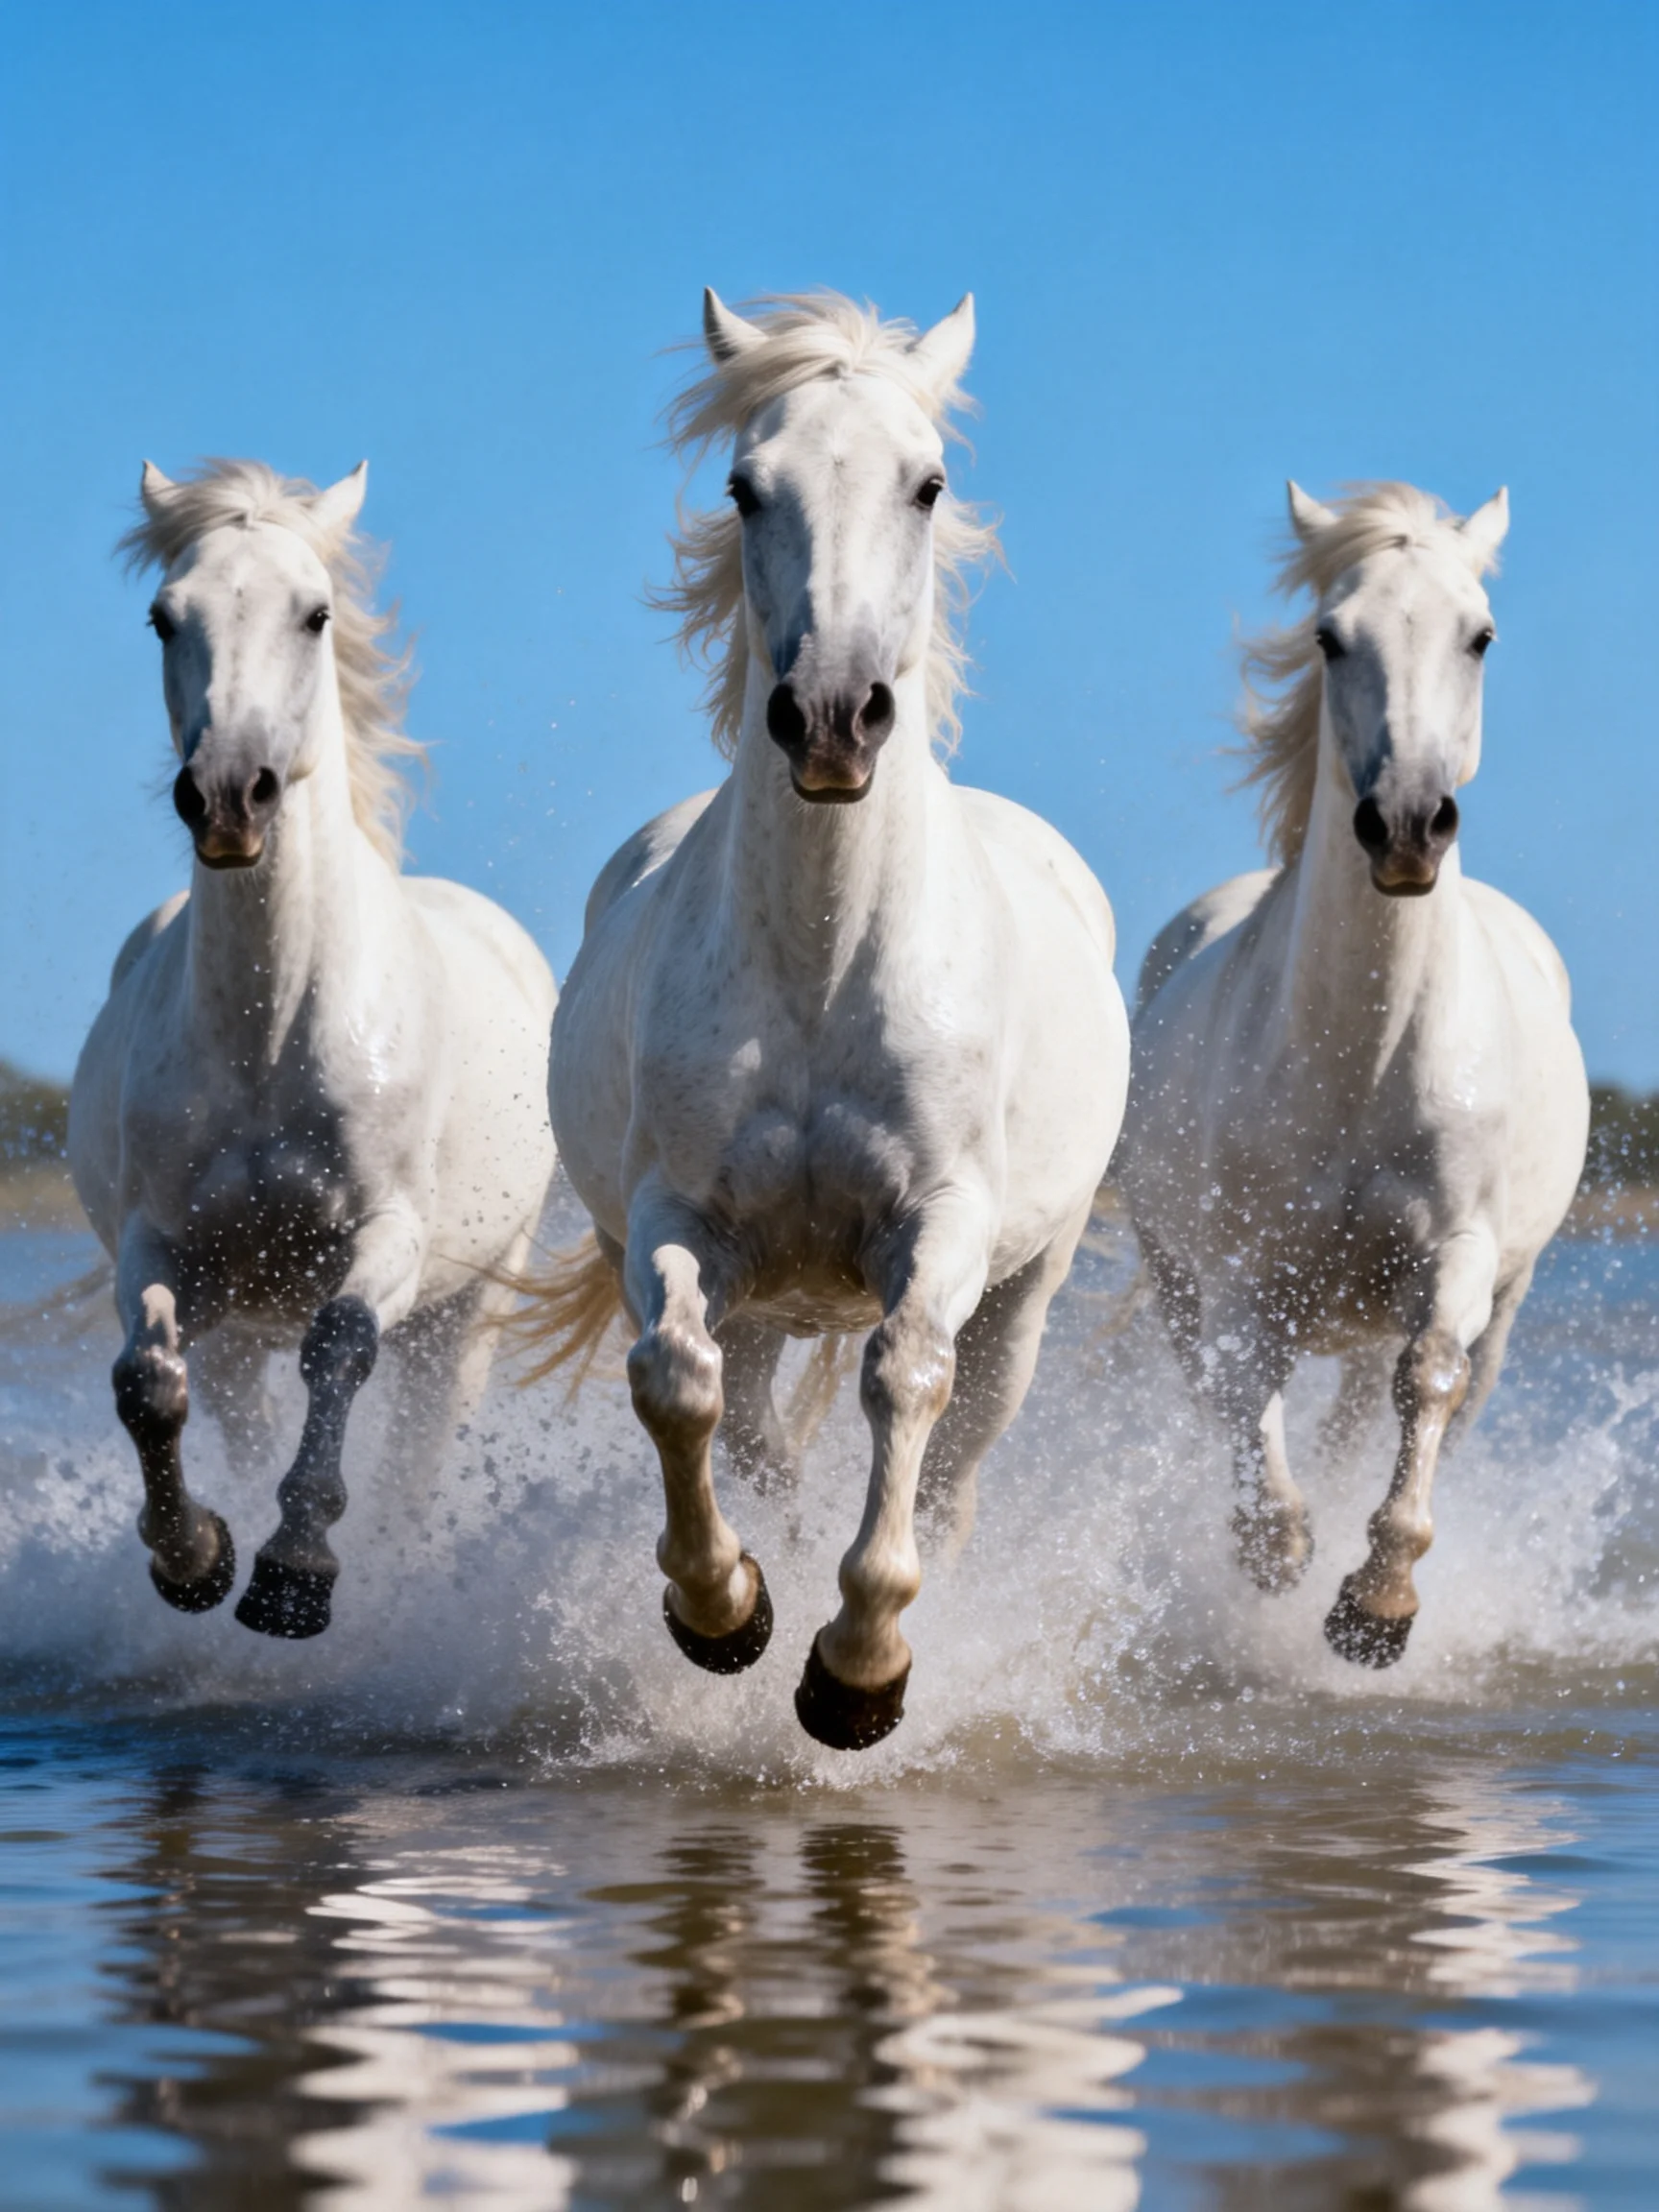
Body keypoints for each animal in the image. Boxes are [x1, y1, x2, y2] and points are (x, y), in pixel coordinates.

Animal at [68, 460, 557, 1637]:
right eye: (164, 617)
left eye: (316, 613)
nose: (229, 795)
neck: (272, 1029)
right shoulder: (164, 1248)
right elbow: (144, 1382)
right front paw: (195, 1556)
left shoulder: (389, 1239)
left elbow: (338, 1347)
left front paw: (295, 1570)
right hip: (241, 1323)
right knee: (228, 1407)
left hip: (467, 1310)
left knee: (417, 1444)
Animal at [529, 290, 1130, 1751]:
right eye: (748, 487)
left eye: (930, 482)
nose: (832, 720)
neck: (821, 961)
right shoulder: (680, 1222)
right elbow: (672, 1382)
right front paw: (727, 1611)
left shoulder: (944, 1228)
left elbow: (904, 1382)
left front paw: (859, 1672)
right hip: (755, 1292)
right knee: (748, 1424)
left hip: (1028, 1292)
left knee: (958, 1462)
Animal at [1116, 481, 1588, 1667]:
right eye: (1333, 638)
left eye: (1480, 634)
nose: (1408, 825)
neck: (1362, 1062)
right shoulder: (1246, 1272)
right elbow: (1247, 1401)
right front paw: (1278, 1552)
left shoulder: (1457, 1255)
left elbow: (1429, 1376)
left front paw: (1377, 1604)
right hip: (1184, 1277)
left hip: (1497, 1297)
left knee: (1422, 1401)